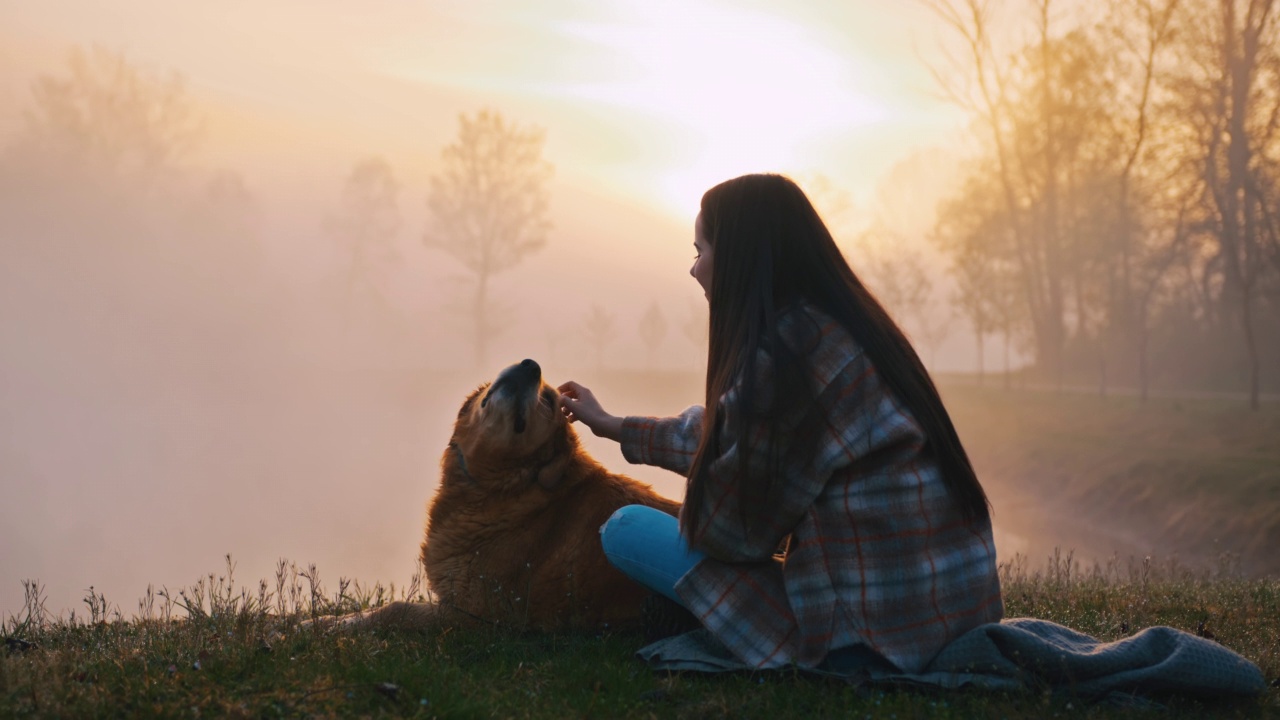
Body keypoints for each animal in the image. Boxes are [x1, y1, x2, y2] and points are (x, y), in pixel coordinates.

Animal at [325, 356, 680, 627]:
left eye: (549, 401)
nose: (531, 365)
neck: (503, 487)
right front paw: (322, 622)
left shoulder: (475, 614)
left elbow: (393, 610)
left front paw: (329, 630)